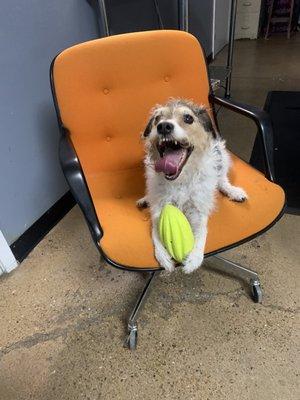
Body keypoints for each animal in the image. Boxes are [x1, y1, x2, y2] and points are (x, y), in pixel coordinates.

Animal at [137, 99, 247, 274]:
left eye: (188, 118)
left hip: (221, 156)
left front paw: (194, 259)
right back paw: (145, 199)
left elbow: (202, 233)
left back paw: (233, 191)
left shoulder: (198, 211)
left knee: (222, 179)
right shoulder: (159, 209)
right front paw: (163, 256)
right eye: (157, 119)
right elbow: (155, 232)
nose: (164, 126)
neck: (180, 180)